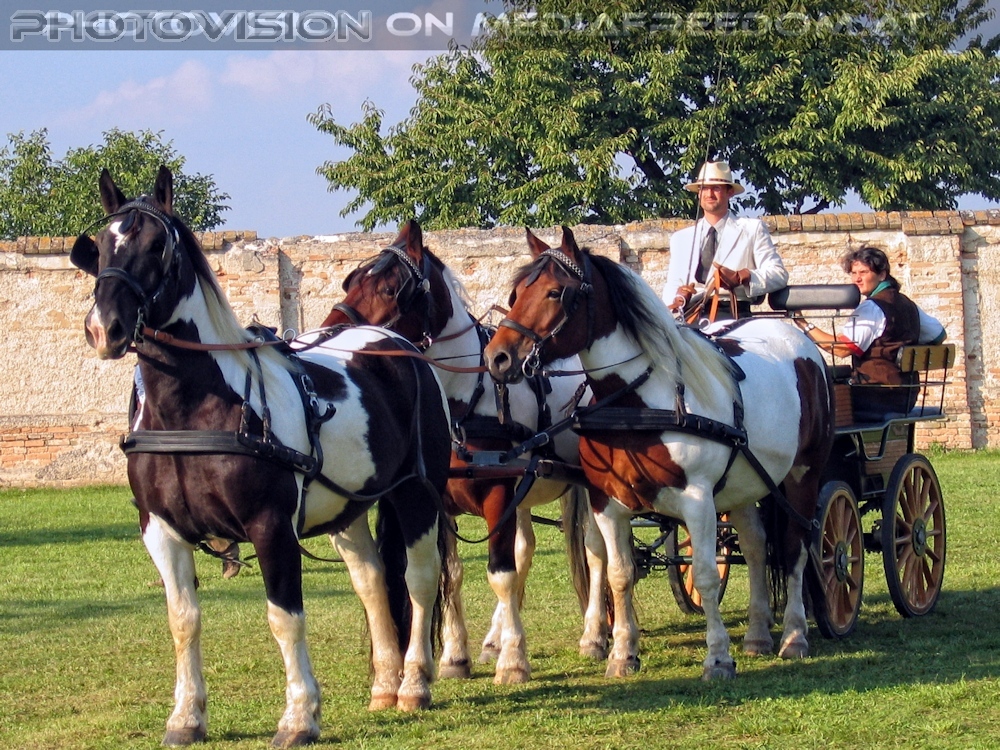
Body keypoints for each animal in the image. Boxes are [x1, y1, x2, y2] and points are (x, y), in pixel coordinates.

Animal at [70, 167, 454, 746]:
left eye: (159, 245)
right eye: (101, 245)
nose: (104, 328)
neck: (193, 409)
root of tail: (398, 346)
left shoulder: (271, 527)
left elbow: (284, 618)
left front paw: (299, 716)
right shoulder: (159, 530)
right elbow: (182, 620)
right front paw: (186, 716)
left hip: (416, 495)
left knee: (418, 578)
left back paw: (413, 684)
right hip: (348, 509)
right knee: (370, 583)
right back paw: (385, 685)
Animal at [320, 219, 610, 684]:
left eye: (389, 289)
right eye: (350, 281)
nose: (329, 335)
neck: (462, 400)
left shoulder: (498, 494)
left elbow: (500, 574)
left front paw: (514, 662)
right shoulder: (443, 501)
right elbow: (453, 573)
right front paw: (458, 655)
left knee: (596, 550)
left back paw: (596, 634)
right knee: (526, 547)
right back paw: (497, 637)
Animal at [483, 226, 833, 680]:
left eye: (556, 292)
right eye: (515, 293)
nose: (497, 357)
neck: (636, 402)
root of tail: (800, 342)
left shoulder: (698, 500)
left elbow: (705, 575)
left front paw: (718, 657)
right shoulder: (607, 502)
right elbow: (619, 573)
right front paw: (622, 654)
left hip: (803, 474)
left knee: (795, 548)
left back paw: (793, 635)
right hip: (745, 483)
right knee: (756, 545)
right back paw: (758, 635)